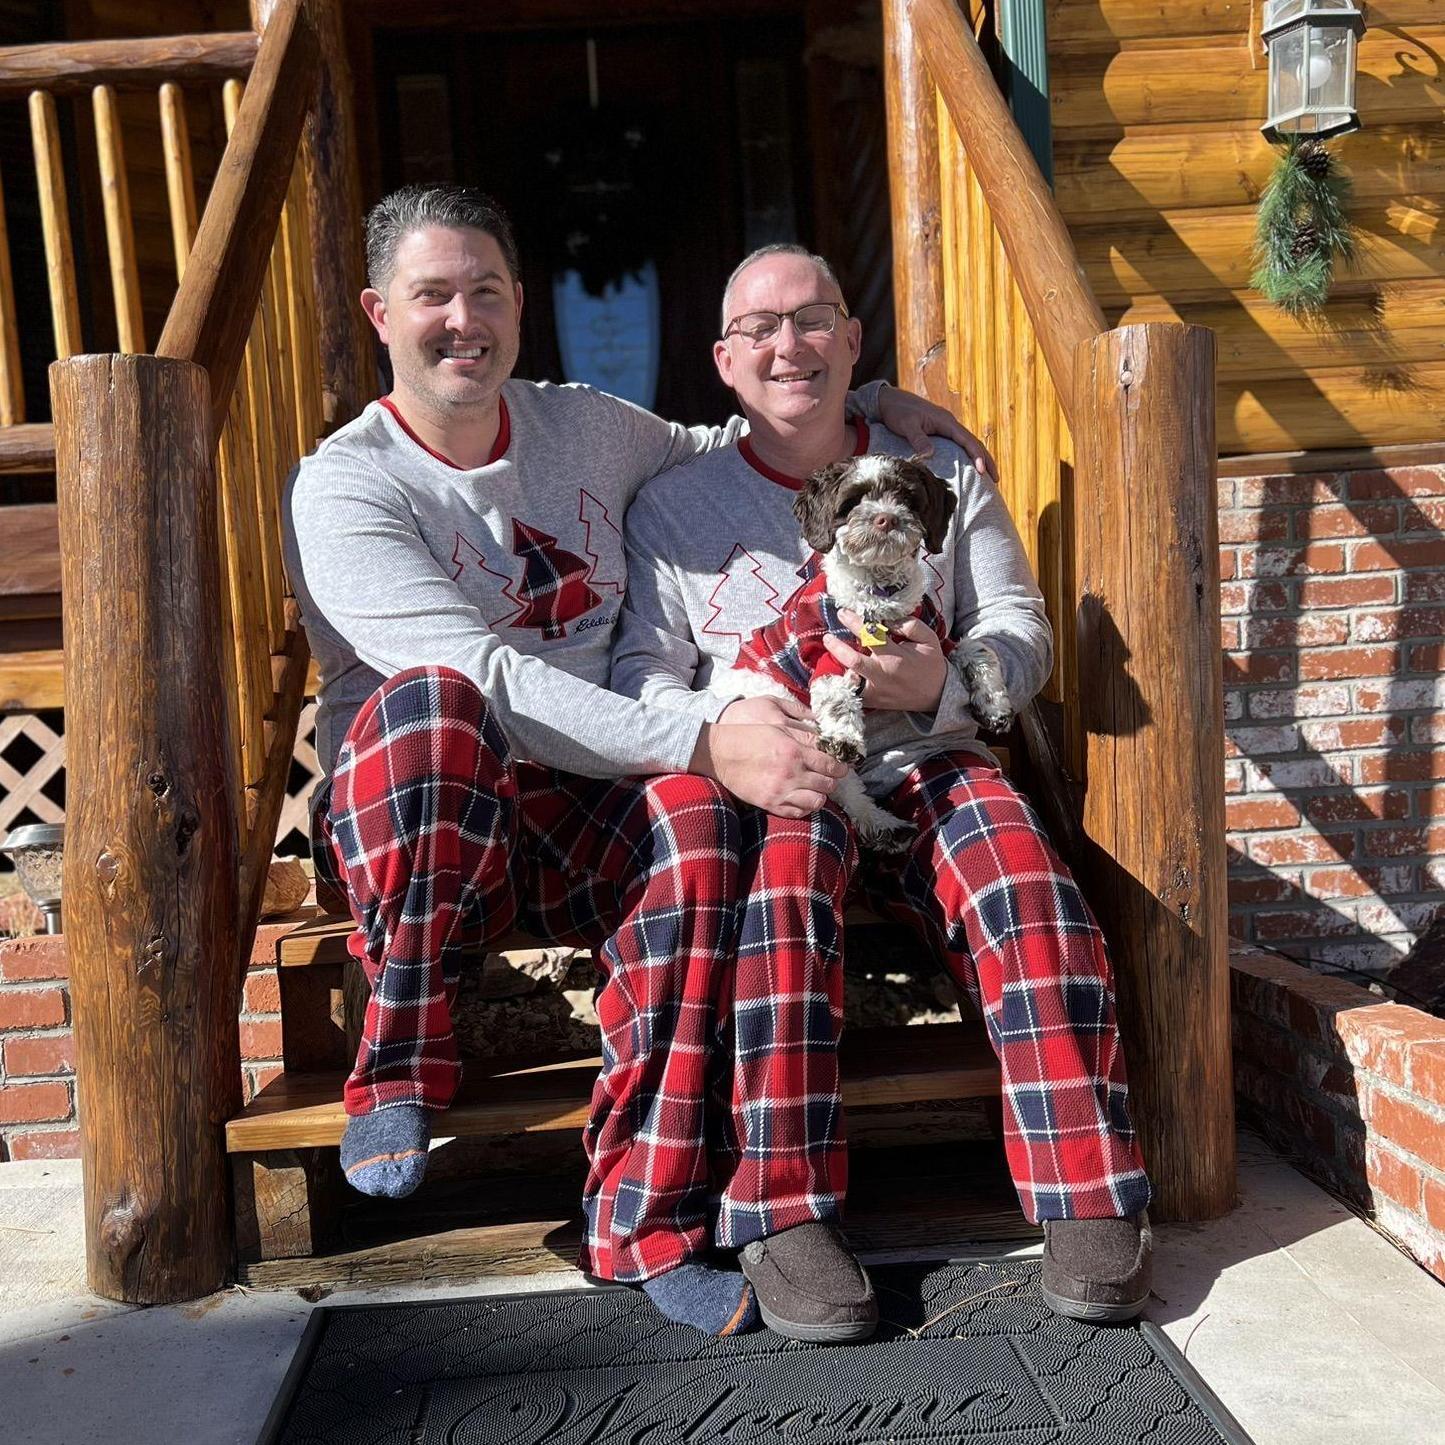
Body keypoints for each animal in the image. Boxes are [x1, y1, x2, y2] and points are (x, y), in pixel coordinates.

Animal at [711, 453, 1014, 850]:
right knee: (840, 783)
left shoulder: (937, 637)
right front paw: (843, 737)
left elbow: (978, 650)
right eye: (853, 501)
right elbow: (836, 698)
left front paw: (994, 707)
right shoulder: (828, 653)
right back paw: (881, 822)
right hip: (789, 711)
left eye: (907, 498)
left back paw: (887, 828)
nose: (886, 518)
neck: (879, 594)